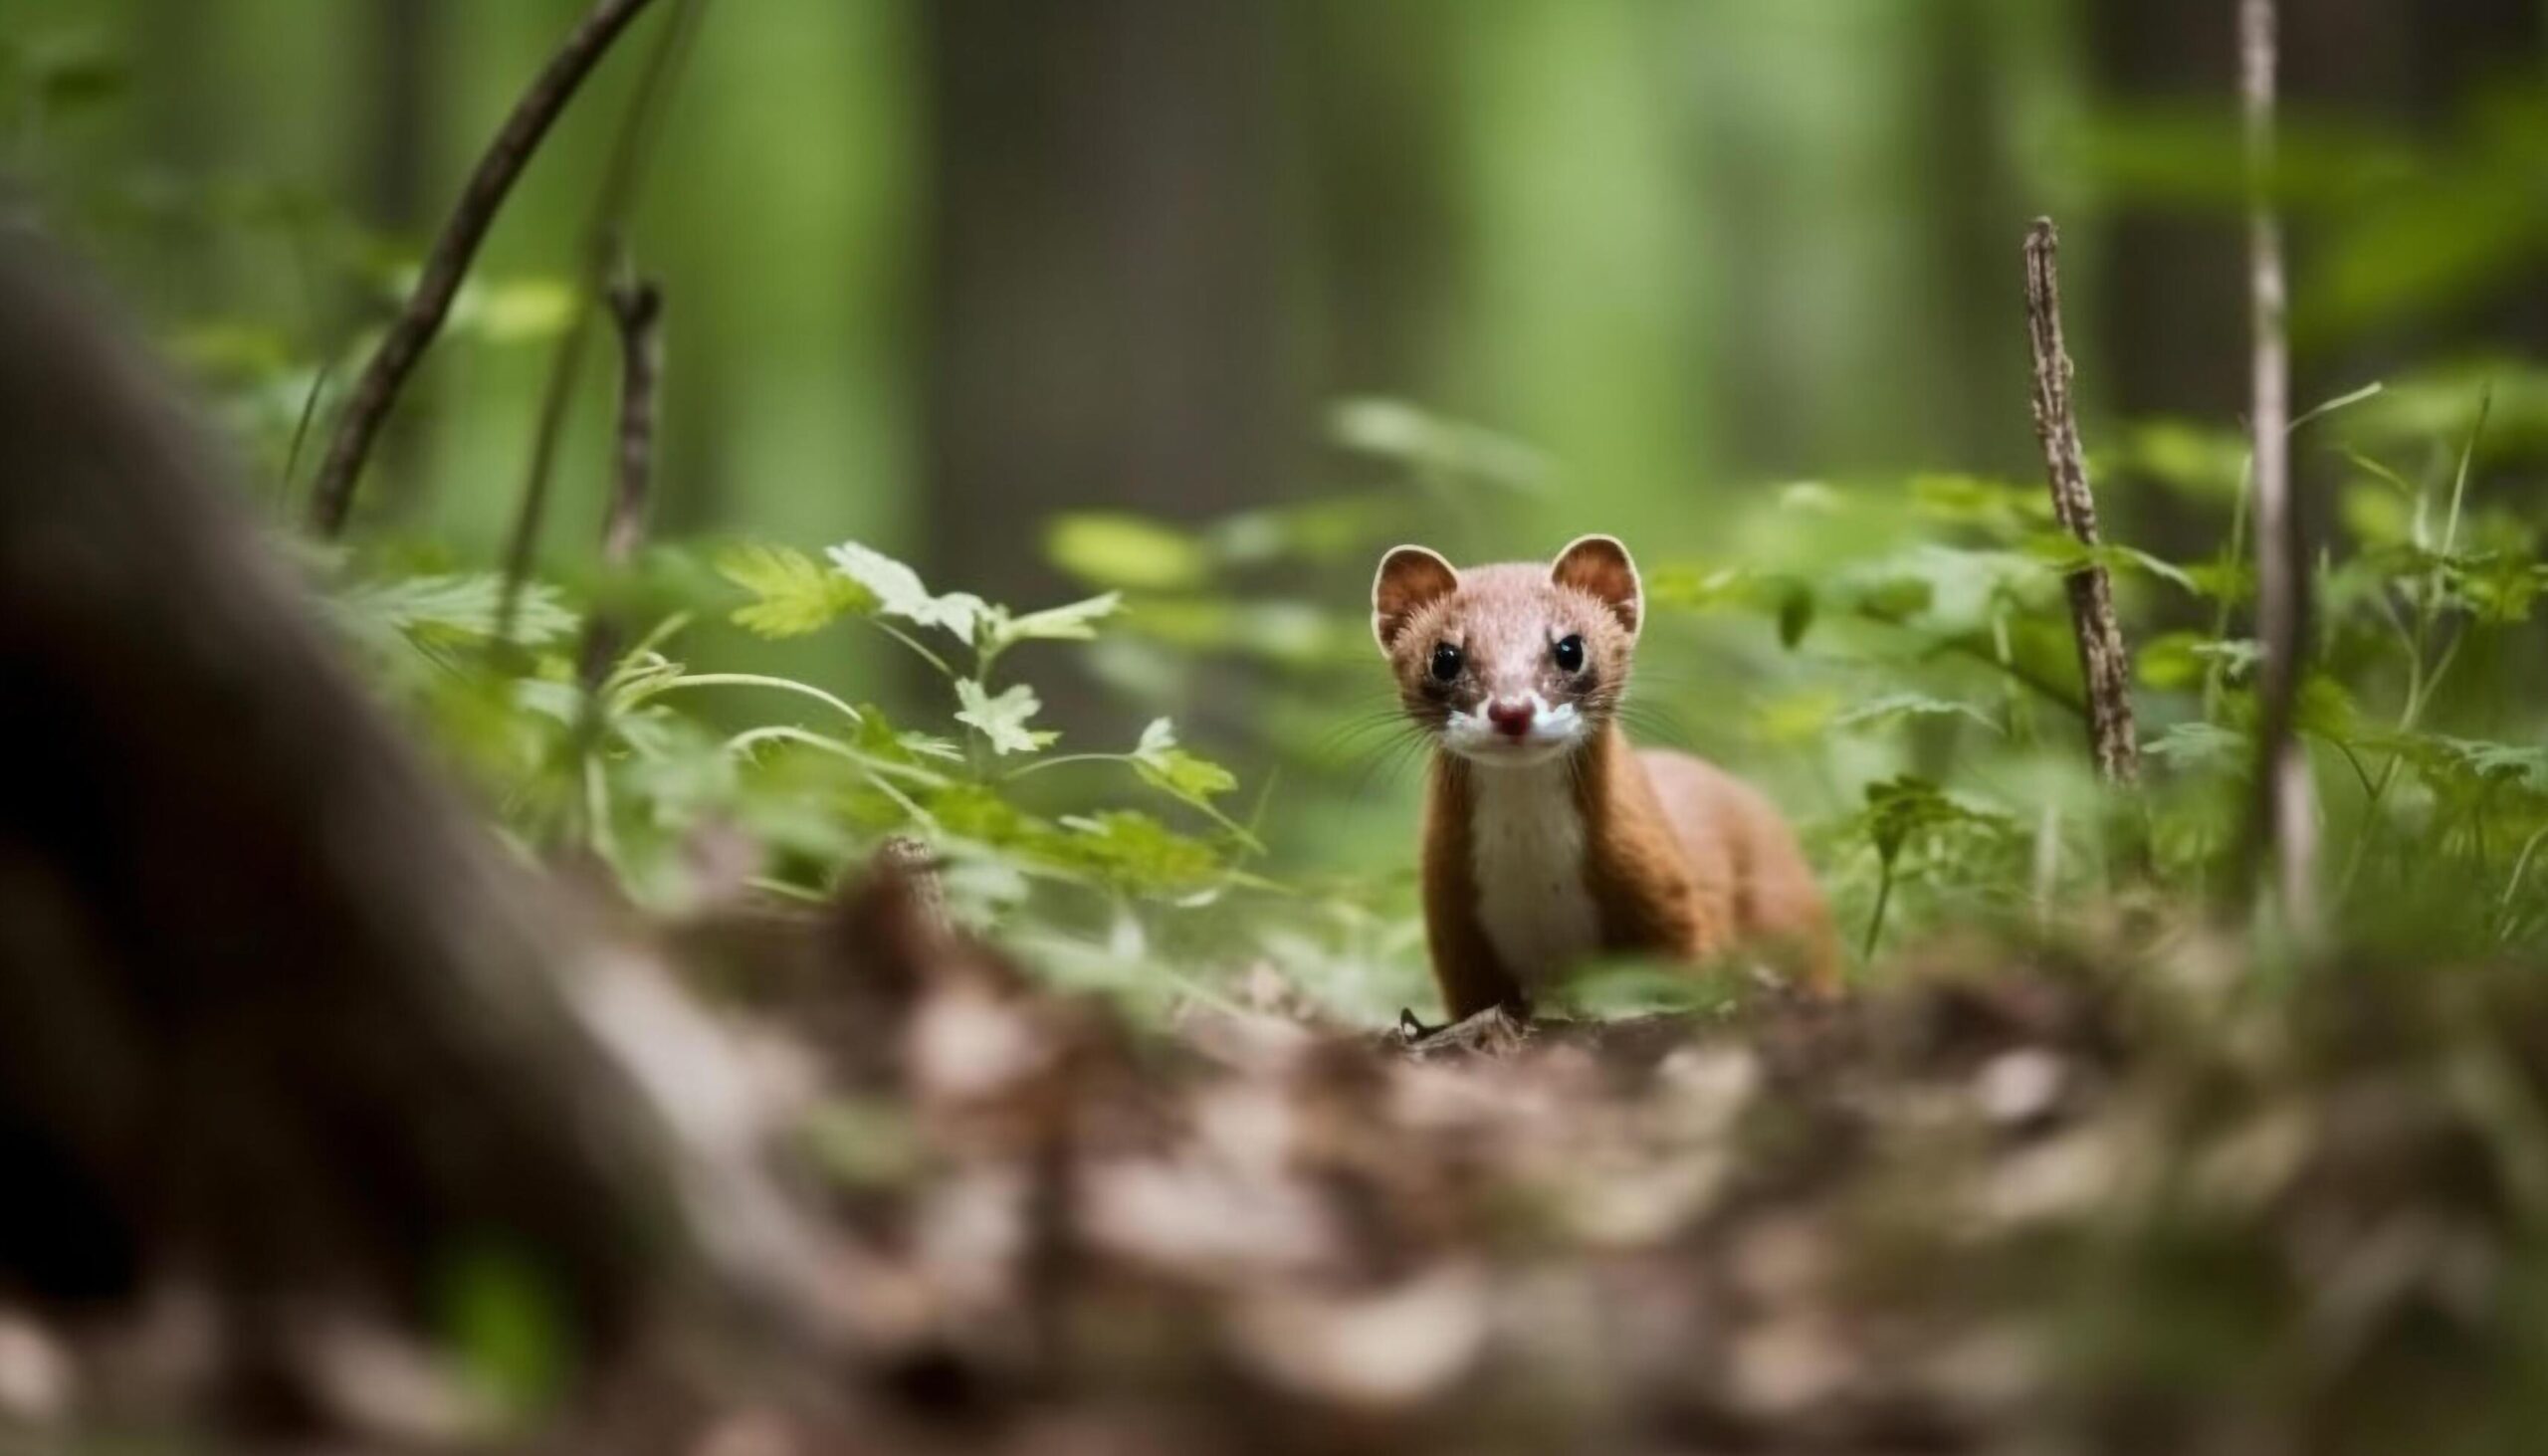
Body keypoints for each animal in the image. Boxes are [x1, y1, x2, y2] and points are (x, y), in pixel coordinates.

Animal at [1376, 529, 1834, 1019]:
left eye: (1570, 648)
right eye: (1444, 657)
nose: (1512, 710)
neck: (1537, 878)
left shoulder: (1668, 898)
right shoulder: (1458, 938)